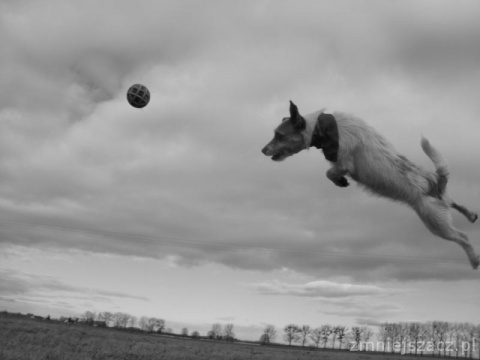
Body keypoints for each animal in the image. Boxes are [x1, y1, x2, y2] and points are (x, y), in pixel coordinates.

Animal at [262, 101, 480, 270]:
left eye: (279, 135)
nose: (262, 150)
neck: (320, 128)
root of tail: (435, 180)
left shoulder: (344, 163)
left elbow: (330, 172)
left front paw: (339, 180)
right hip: (444, 204)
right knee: (457, 204)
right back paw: (471, 215)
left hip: (435, 222)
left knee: (463, 237)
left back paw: (474, 259)